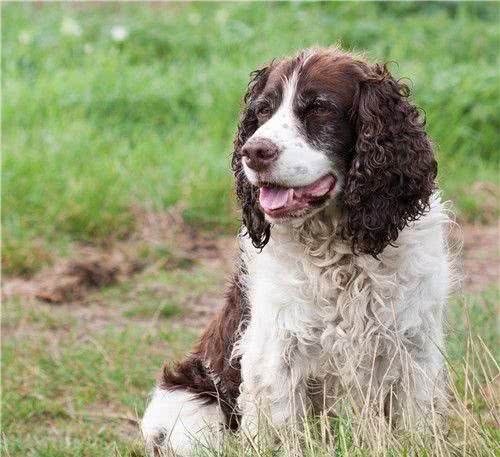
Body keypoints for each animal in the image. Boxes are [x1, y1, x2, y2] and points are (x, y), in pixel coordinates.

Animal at [140, 48, 450, 454]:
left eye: (318, 108)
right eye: (262, 111)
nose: (253, 151)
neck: (340, 252)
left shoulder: (414, 346)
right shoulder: (277, 353)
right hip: (187, 407)